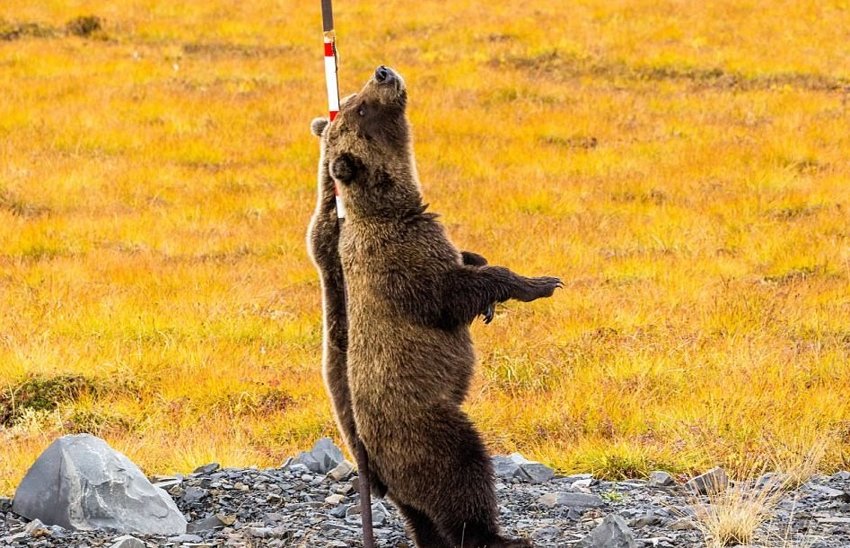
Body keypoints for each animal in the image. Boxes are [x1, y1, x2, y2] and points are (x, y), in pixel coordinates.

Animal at [308, 66, 560, 544]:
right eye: (360, 107)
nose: (383, 72)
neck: (388, 206)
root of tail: (376, 468)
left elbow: (466, 268)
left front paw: (483, 276)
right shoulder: (401, 260)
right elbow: (447, 294)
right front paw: (539, 283)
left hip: (404, 479)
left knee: (421, 515)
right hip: (425, 427)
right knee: (462, 473)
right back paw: (499, 534)